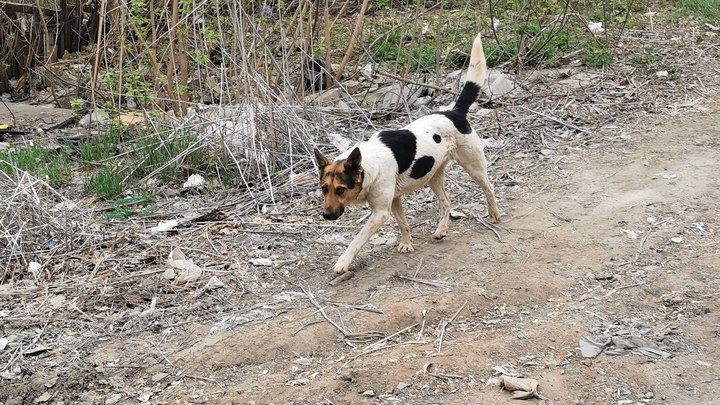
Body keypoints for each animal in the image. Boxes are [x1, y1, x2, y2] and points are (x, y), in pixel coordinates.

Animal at [316, 33, 500, 274]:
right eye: (324, 188)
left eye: (340, 189)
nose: (326, 216)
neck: (368, 166)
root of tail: (455, 112)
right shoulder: (394, 201)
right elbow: (403, 224)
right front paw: (407, 244)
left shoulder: (380, 213)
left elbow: (358, 238)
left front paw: (343, 261)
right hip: (433, 176)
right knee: (446, 202)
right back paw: (441, 230)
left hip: (473, 166)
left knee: (489, 188)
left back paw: (494, 214)